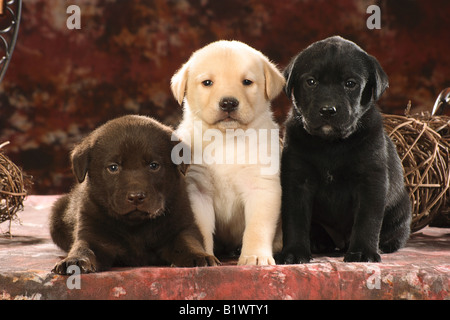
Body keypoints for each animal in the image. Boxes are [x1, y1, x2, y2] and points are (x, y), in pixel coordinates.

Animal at [171, 40, 284, 264]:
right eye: (207, 82)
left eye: (247, 82)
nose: (228, 102)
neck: (226, 139)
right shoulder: (197, 190)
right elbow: (201, 230)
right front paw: (204, 255)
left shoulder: (262, 187)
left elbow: (257, 228)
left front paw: (255, 256)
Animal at [278, 36, 412, 264]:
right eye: (311, 82)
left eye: (350, 84)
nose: (327, 110)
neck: (331, 144)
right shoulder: (297, 180)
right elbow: (295, 219)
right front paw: (294, 252)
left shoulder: (371, 182)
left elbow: (367, 221)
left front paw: (363, 252)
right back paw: (318, 242)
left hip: (401, 209)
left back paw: (383, 245)